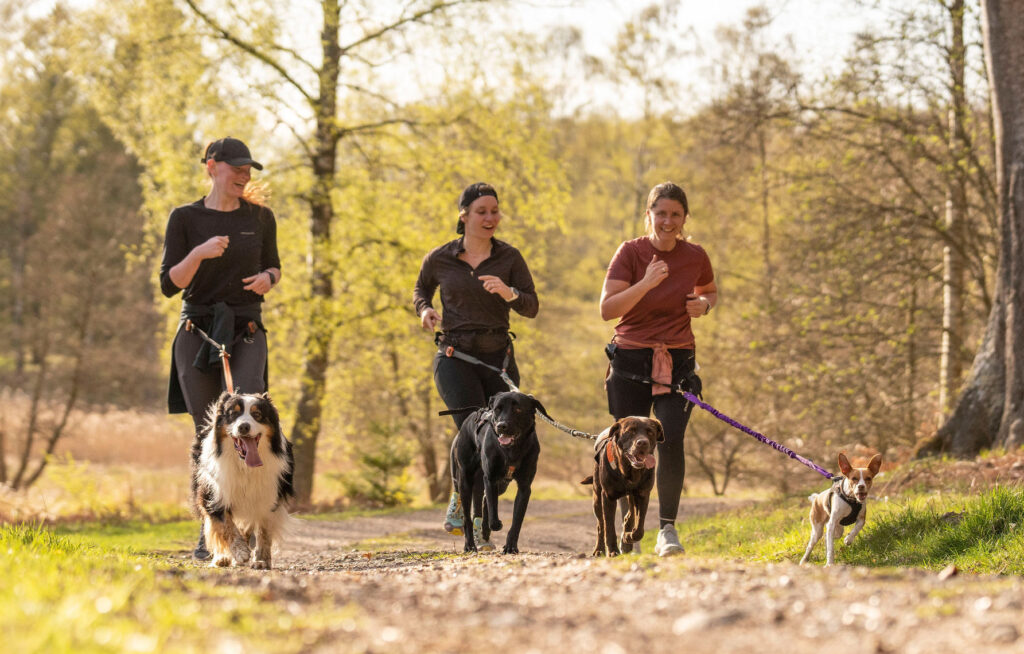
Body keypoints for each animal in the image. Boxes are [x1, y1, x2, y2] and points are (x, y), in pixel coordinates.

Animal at [448, 390, 544, 556]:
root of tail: (473, 414)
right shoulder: (490, 479)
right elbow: (493, 509)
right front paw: (495, 525)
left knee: (484, 499)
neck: (512, 450)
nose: (501, 426)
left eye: (518, 409)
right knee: (468, 516)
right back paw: (470, 545)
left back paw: (484, 532)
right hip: (466, 480)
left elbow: (517, 520)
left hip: (501, 485)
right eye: (497, 409)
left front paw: (511, 546)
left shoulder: (524, 487)